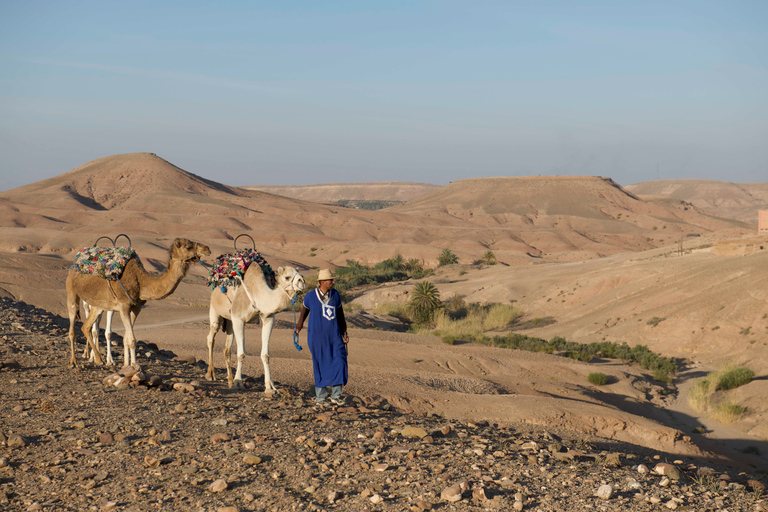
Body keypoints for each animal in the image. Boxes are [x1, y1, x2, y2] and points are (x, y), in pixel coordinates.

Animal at [65, 239, 210, 368]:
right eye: (188, 246)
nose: (207, 249)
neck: (142, 283)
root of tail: (74, 266)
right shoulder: (123, 306)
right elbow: (132, 340)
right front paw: (134, 366)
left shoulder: (136, 308)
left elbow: (126, 339)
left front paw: (127, 365)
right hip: (72, 292)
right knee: (73, 328)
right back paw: (74, 361)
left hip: (98, 305)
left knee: (86, 327)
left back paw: (98, 359)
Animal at [208, 264, 308, 392]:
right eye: (287, 277)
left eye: (301, 275)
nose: (302, 282)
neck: (258, 294)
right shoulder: (238, 318)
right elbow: (241, 354)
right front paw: (238, 383)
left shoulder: (268, 318)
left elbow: (265, 355)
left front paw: (269, 386)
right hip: (215, 312)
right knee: (211, 337)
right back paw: (211, 375)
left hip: (229, 321)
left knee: (227, 348)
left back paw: (229, 381)